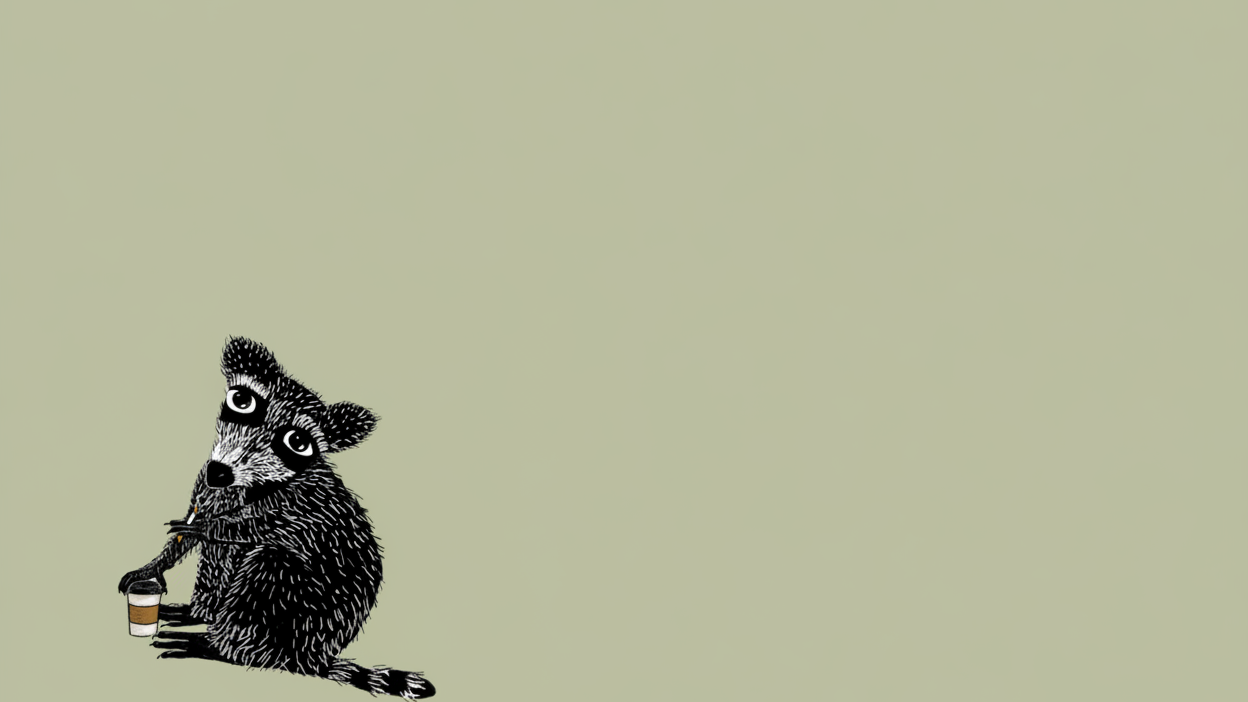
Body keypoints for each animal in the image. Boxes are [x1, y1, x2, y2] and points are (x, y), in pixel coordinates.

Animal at [117, 337, 435, 699]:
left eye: (296, 441)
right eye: (242, 401)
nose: (219, 472)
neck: (244, 481)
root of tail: (307, 656)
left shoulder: (301, 501)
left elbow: (252, 528)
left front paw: (214, 525)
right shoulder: (209, 486)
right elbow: (198, 534)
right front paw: (157, 563)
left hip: (303, 611)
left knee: (268, 566)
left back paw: (221, 646)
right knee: (220, 559)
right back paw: (201, 613)